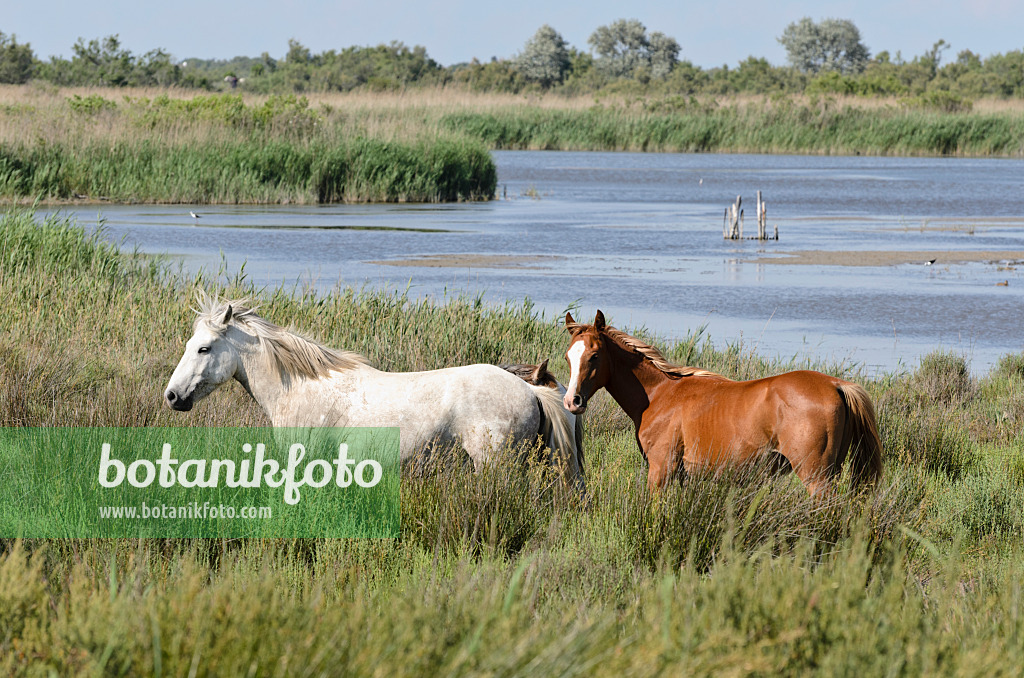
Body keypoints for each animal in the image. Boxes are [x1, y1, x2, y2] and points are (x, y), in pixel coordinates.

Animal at [561, 311, 880, 493]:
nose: (572, 401)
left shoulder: (660, 471)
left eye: (594, 356)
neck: (659, 395)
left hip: (816, 477)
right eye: (568, 357)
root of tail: (836, 384)